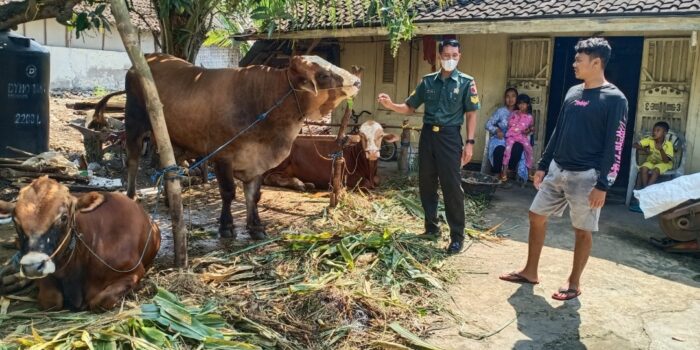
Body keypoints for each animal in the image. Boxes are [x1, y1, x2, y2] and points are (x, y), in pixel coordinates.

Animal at [0, 176, 159, 310]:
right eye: (15, 220)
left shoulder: (134, 271)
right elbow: (51, 300)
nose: (32, 267)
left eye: (64, 217)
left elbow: (99, 302)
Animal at [90, 54, 358, 241]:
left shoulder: (256, 162)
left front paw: (255, 226)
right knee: (133, 161)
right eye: (322, 75)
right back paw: (132, 195)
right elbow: (229, 192)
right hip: (135, 123)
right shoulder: (222, 157)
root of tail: (146, 59)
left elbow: (254, 195)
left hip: (166, 137)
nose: (356, 80)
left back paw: (168, 199)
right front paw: (227, 226)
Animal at [264, 121, 396, 191]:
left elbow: (377, 180)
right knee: (269, 178)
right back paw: (299, 184)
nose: (372, 152)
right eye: (362, 136)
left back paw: (307, 184)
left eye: (381, 136)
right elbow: (366, 183)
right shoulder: (346, 178)